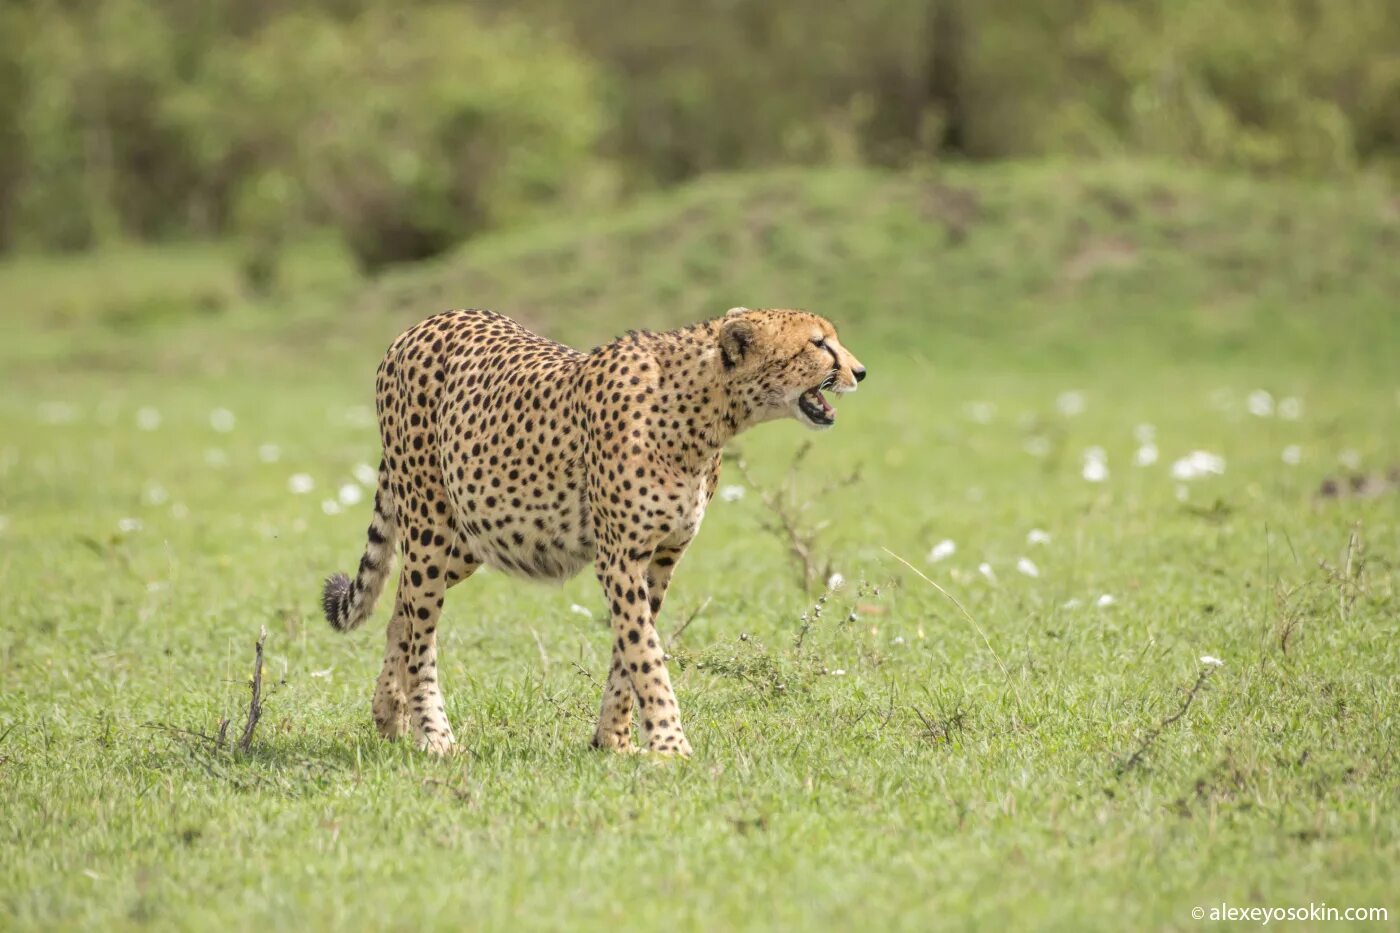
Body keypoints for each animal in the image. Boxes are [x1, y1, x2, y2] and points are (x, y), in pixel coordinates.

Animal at [322, 308, 862, 750]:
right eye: (818, 344)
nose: (859, 371)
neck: (703, 414)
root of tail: (422, 324)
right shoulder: (619, 555)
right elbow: (646, 652)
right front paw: (670, 746)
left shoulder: (660, 558)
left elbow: (631, 651)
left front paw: (614, 741)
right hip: (431, 523)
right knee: (421, 628)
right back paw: (434, 735)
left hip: (477, 532)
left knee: (403, 608)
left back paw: (390, 715)